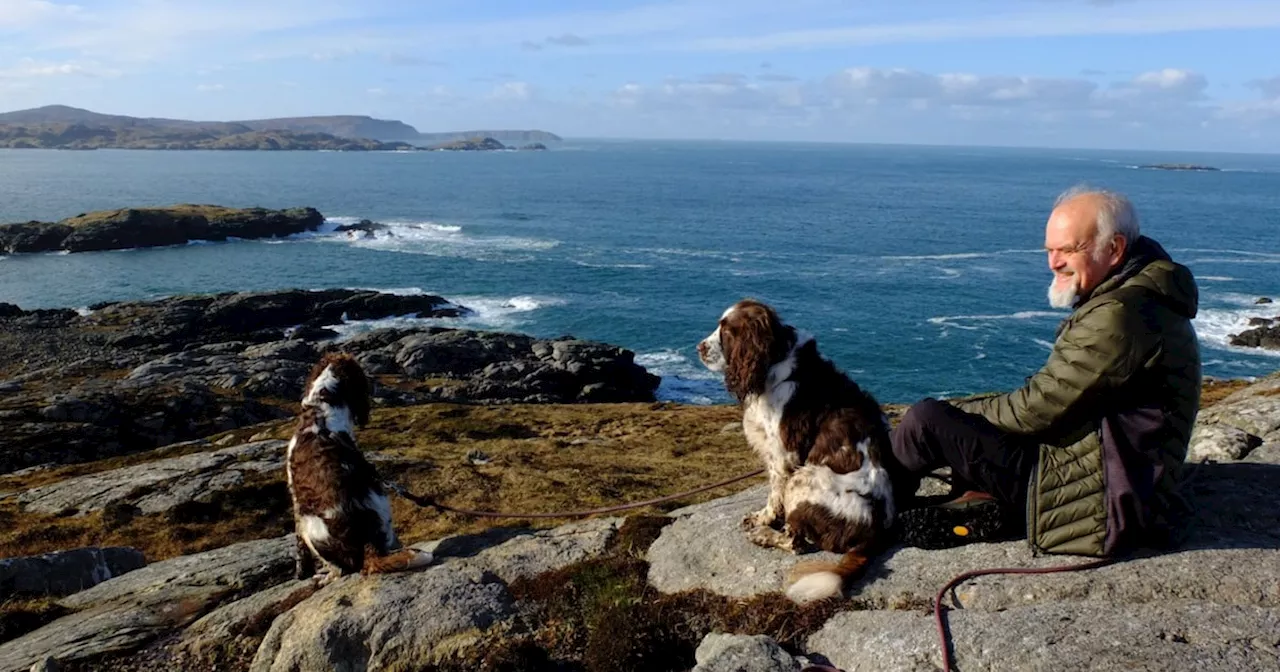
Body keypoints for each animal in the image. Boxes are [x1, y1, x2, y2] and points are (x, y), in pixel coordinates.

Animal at [696, 298, 896, 601]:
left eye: (728, 332)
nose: (699, 347)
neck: (774, 364)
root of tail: (874, 533)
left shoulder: (783, 456)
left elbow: (773, 494)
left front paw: (763, 519)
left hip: (805, 479)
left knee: (795, 542)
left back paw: (761, 535)